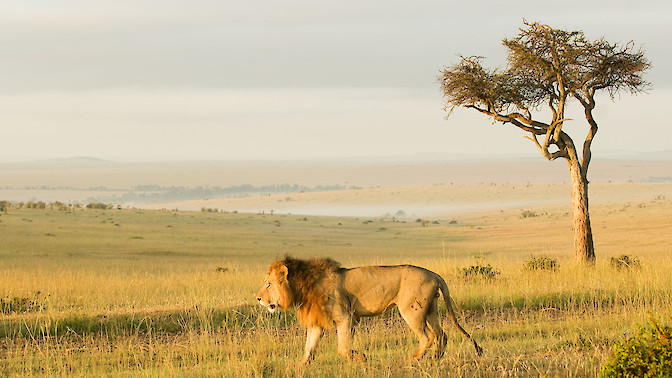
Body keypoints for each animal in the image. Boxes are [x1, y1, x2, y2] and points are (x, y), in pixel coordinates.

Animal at [255, 255, 480, 364]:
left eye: (268, 284)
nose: (258, 298)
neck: (302, 286)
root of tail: (434, 274)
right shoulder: (317, 323)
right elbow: (309, 347)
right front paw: (300, 365)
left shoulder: (345, 316)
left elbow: (342, 348)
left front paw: (361, 357)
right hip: (431, 309)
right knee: (442, 334)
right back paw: (436, 358)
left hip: (411, 310)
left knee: (428, 336)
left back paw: (415, 358)